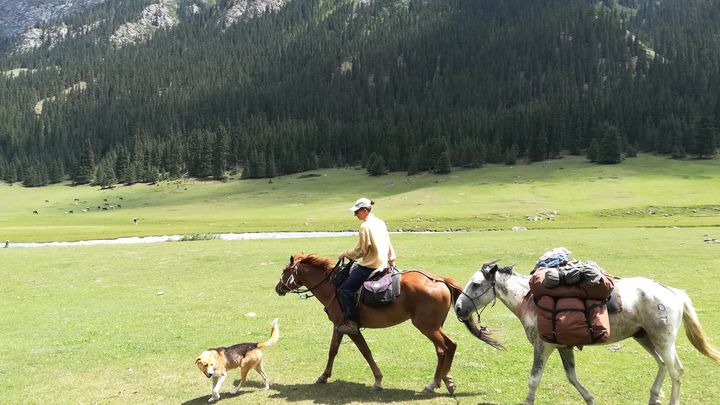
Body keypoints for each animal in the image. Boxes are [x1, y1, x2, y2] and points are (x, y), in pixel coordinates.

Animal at [272, 254, 498, 392]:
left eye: (285, 270)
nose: (278, 288)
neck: (333, 286)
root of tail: (438, 279)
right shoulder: (339, 326)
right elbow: (333, 350)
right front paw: (324, 376)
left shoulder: (349, 327)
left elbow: (365, 352)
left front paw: (378, 380)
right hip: (434, 327)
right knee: (442, 350)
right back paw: (441, 380)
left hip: (427, 326)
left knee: (449, 346)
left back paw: (440, 383)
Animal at [456, 258, 720, 404]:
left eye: (476, 284)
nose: (458, 307)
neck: (529, 300)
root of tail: (673, 292)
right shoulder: (563, 347)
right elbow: (572, 377)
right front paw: (590, 399)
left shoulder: (543, 346)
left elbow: (534, 380)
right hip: (645, 337)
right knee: (663, 365)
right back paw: (654, 396)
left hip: (663, 340)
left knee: (676, 370)